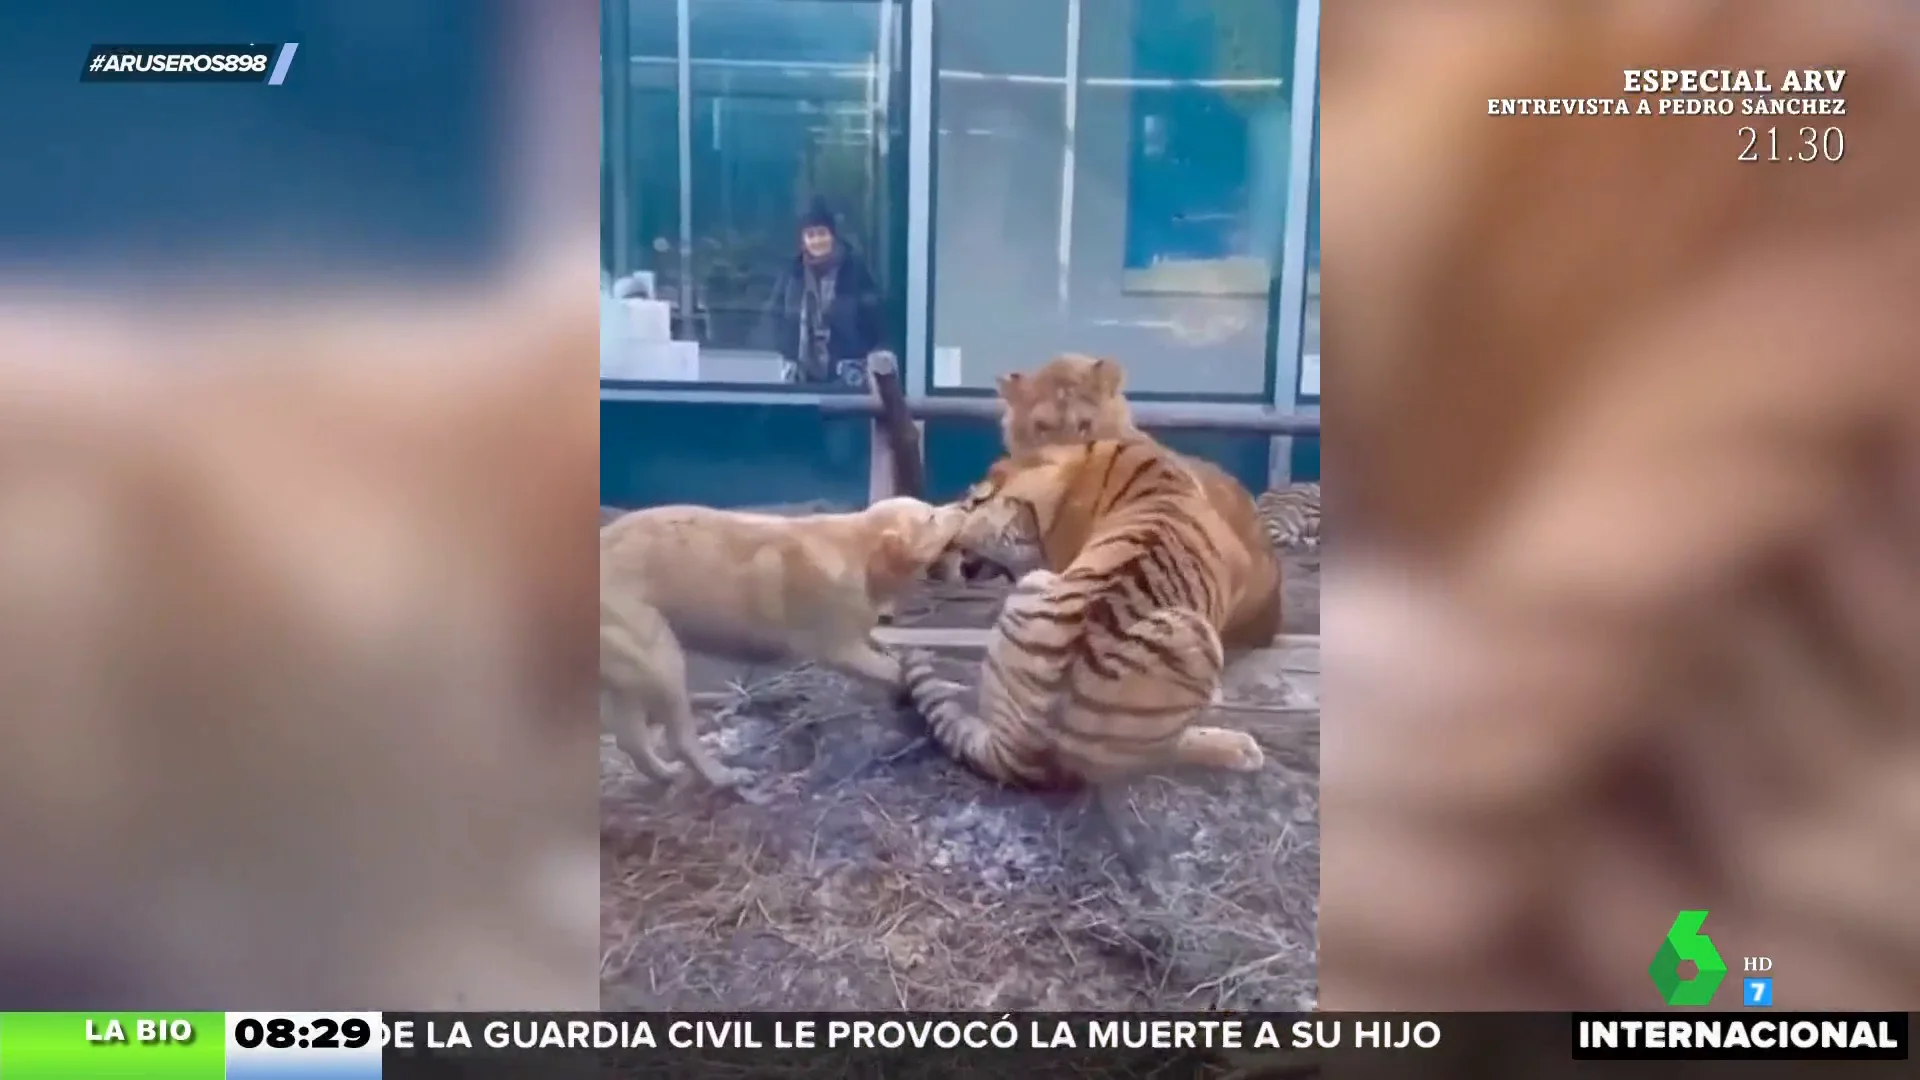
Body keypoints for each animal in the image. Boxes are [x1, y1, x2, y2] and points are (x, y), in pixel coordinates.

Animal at [902, 438, 1274, 864]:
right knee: (1157, 753)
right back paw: (1238, 746)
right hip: (1192, 634)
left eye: (967, 507)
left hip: (1038, 587)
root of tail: (1017, 743)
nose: (937, 561)